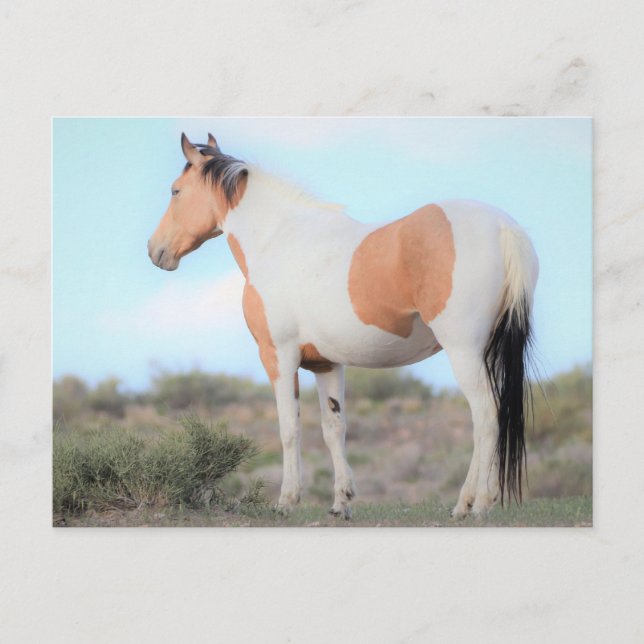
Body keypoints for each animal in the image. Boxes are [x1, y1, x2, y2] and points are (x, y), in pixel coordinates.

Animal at [148, 132, 539, 519]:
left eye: (175, 191)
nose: (155, 251)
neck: (277, 239)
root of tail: (503, 227)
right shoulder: (327, 364)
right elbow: (333, 428)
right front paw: (341, 501)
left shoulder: (278, 356)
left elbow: (289, 427)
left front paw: (287, 500)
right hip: (488, 352)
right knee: (493, 413)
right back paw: (467, 503)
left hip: (464, 351)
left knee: (485, 415)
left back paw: (477, 503)